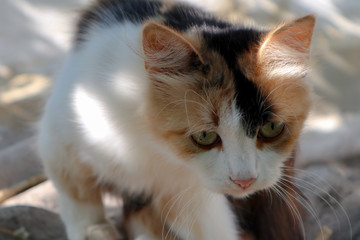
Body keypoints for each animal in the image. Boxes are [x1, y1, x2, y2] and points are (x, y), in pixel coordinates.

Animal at [38, 0, 316, 239]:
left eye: (271, 128)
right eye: (205, 136)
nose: (244, 181)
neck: (154, 145)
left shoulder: (191, 196)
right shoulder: (61, 137)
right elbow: (78, 197)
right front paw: (92, 231)